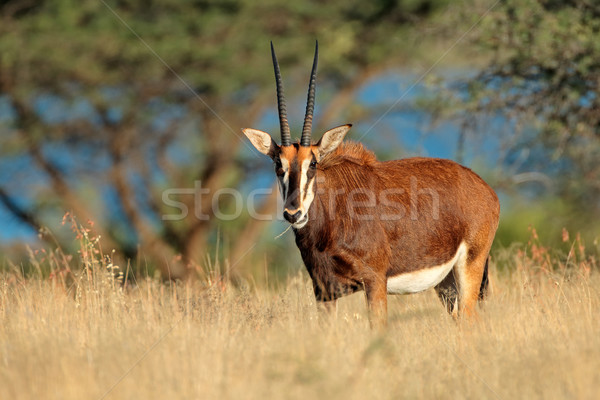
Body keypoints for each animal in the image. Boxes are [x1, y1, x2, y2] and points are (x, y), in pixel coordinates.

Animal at [244, 42, 502, 326]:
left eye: (312, 164)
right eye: (278, 165)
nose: (293, 214)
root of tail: (484, 188)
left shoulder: (375, 281)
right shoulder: (323, 291)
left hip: (470, 266)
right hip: (445, 283)